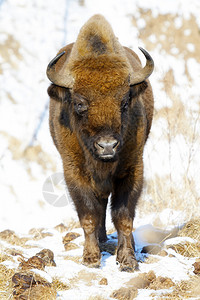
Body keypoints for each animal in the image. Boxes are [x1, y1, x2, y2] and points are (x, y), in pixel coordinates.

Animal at [47, 14, 155, 272]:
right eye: (79, 103)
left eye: (124, 102)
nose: (107, 146)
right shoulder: (73, 172)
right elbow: (88, 214)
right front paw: (91, 258)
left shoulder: (132, 169)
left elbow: (123, 216)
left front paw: (127, 260)